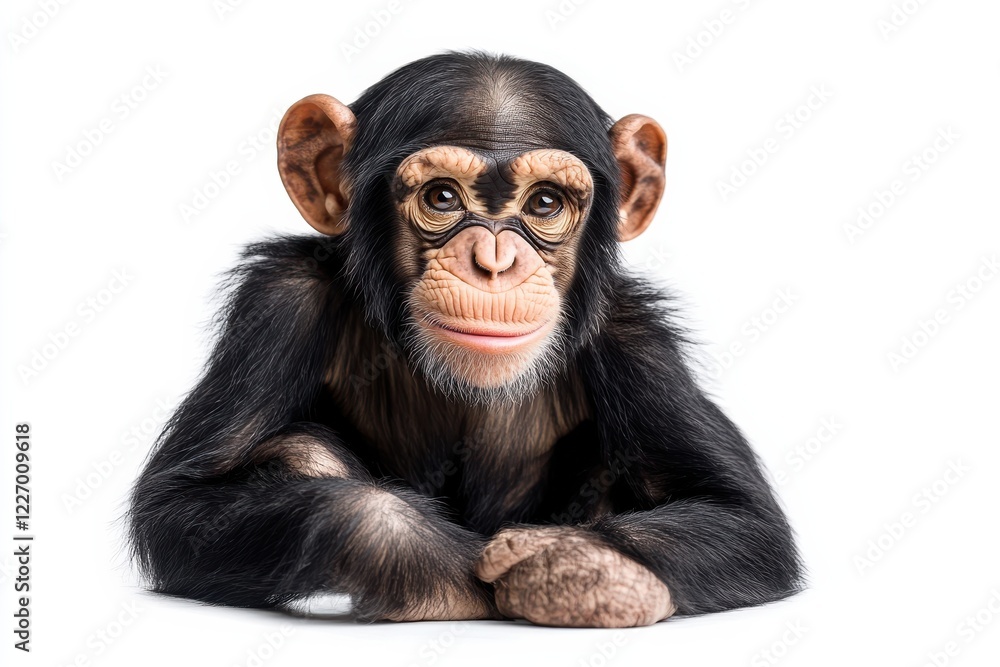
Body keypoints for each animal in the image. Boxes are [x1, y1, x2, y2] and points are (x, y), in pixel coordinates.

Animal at [128, 52, 802, 628]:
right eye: (442, 197)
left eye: (546, 203)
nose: (495, 261)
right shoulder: (277, 306)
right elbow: (178, 502)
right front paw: (424, 565)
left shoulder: (637, 341)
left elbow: (742, 516)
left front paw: (581, 570)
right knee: (297, 448)